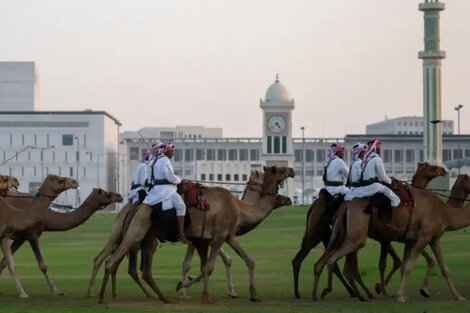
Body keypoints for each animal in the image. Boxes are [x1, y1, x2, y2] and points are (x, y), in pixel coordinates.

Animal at [95, 166, 294, 302]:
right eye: (277, 169)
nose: (292, 170)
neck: (240, 208)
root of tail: (136, 204)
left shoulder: (217, 237)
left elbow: (246, 260)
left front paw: (253, 294)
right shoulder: (218, 237)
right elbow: (207, 266)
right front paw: (195, 291)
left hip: (142, 235)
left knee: (129, 264)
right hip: (137, 229)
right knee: (114, 260)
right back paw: (102, 296)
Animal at [292, 161, 446, 298]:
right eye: (433, 167)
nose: (443, 170)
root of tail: (314, 205)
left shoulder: (388, 238)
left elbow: (394, 261)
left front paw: (381, 287)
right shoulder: (389, 237)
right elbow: (388, 263)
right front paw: (382, 289)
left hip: (328, 234)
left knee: (330, 262)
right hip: (319, 232)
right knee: (329, 262)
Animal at [312, 172, 470, 302]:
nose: (444, 172)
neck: (444, 212)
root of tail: (346, 205)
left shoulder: (427, 238)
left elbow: (442, 267)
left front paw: (457, 296)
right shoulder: (423, 236)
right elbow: (409, 266)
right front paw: (401, 296)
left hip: (341, 231)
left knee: (327, 260)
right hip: (355, 236)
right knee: (336, 260)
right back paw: (343, 292)